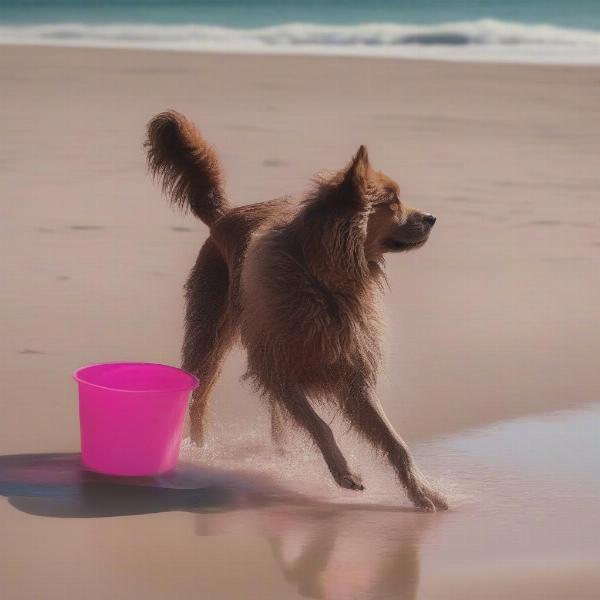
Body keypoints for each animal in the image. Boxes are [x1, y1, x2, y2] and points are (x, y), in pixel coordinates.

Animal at [144, 111, 446, 510]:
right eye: (392, 201)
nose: (432, 217)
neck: (321, 280)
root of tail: (226, 214)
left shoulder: (352, 374)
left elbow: (395, 442)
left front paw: (423, 492)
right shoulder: (277, 370)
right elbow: (320, 425)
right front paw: (344, 473)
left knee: (275, 418)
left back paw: (279, 452)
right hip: (209, 333)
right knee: (199, 398)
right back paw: (200, 452)